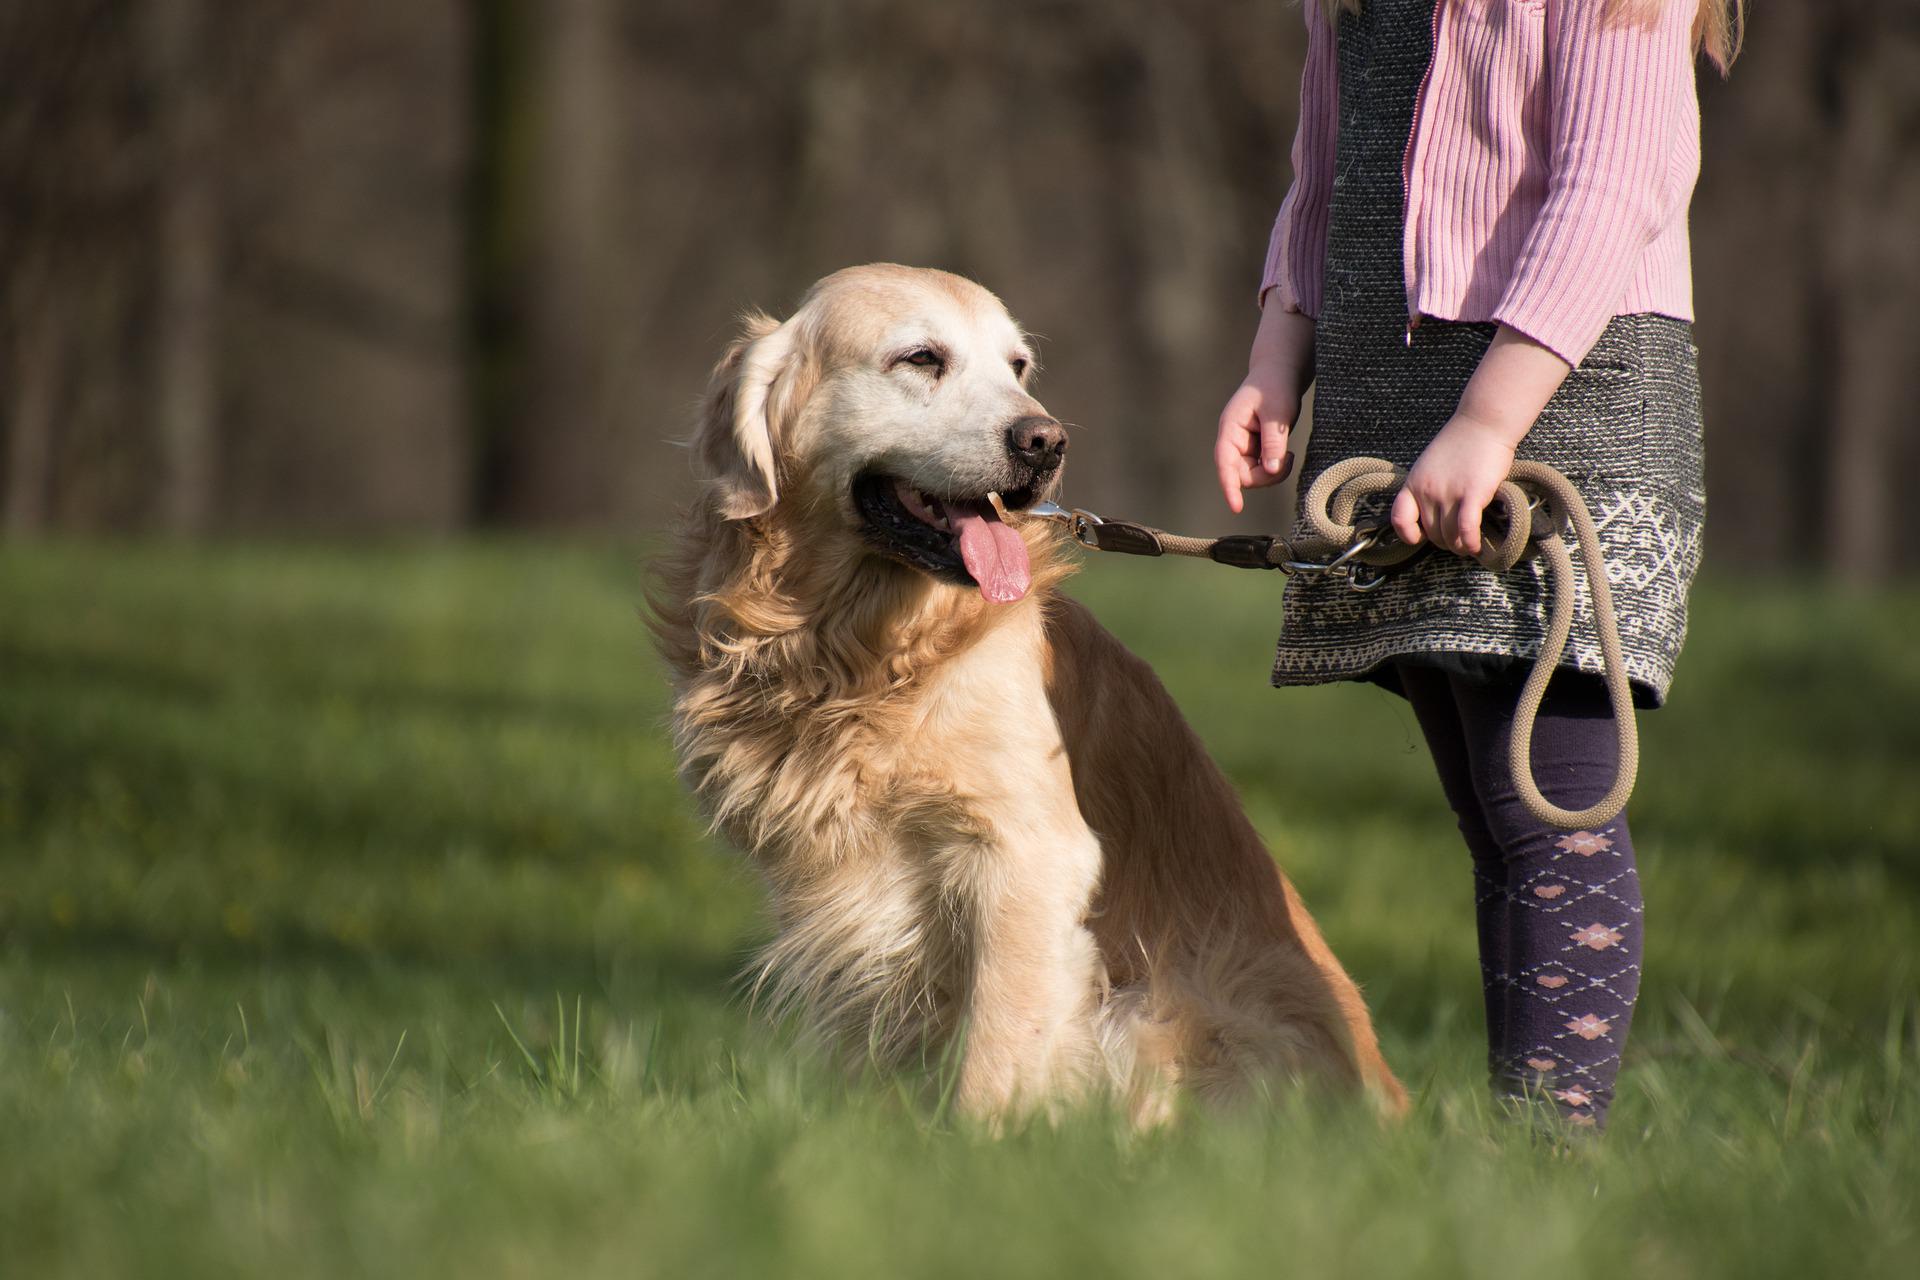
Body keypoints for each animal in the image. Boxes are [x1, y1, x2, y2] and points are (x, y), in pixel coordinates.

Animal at [660, 264, 1413, 1128]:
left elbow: (997, 1045)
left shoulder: (1029, 854)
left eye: (1017, 367)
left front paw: (977, 1144)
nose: (1046, 441)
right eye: (921, 358)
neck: (860, 652)